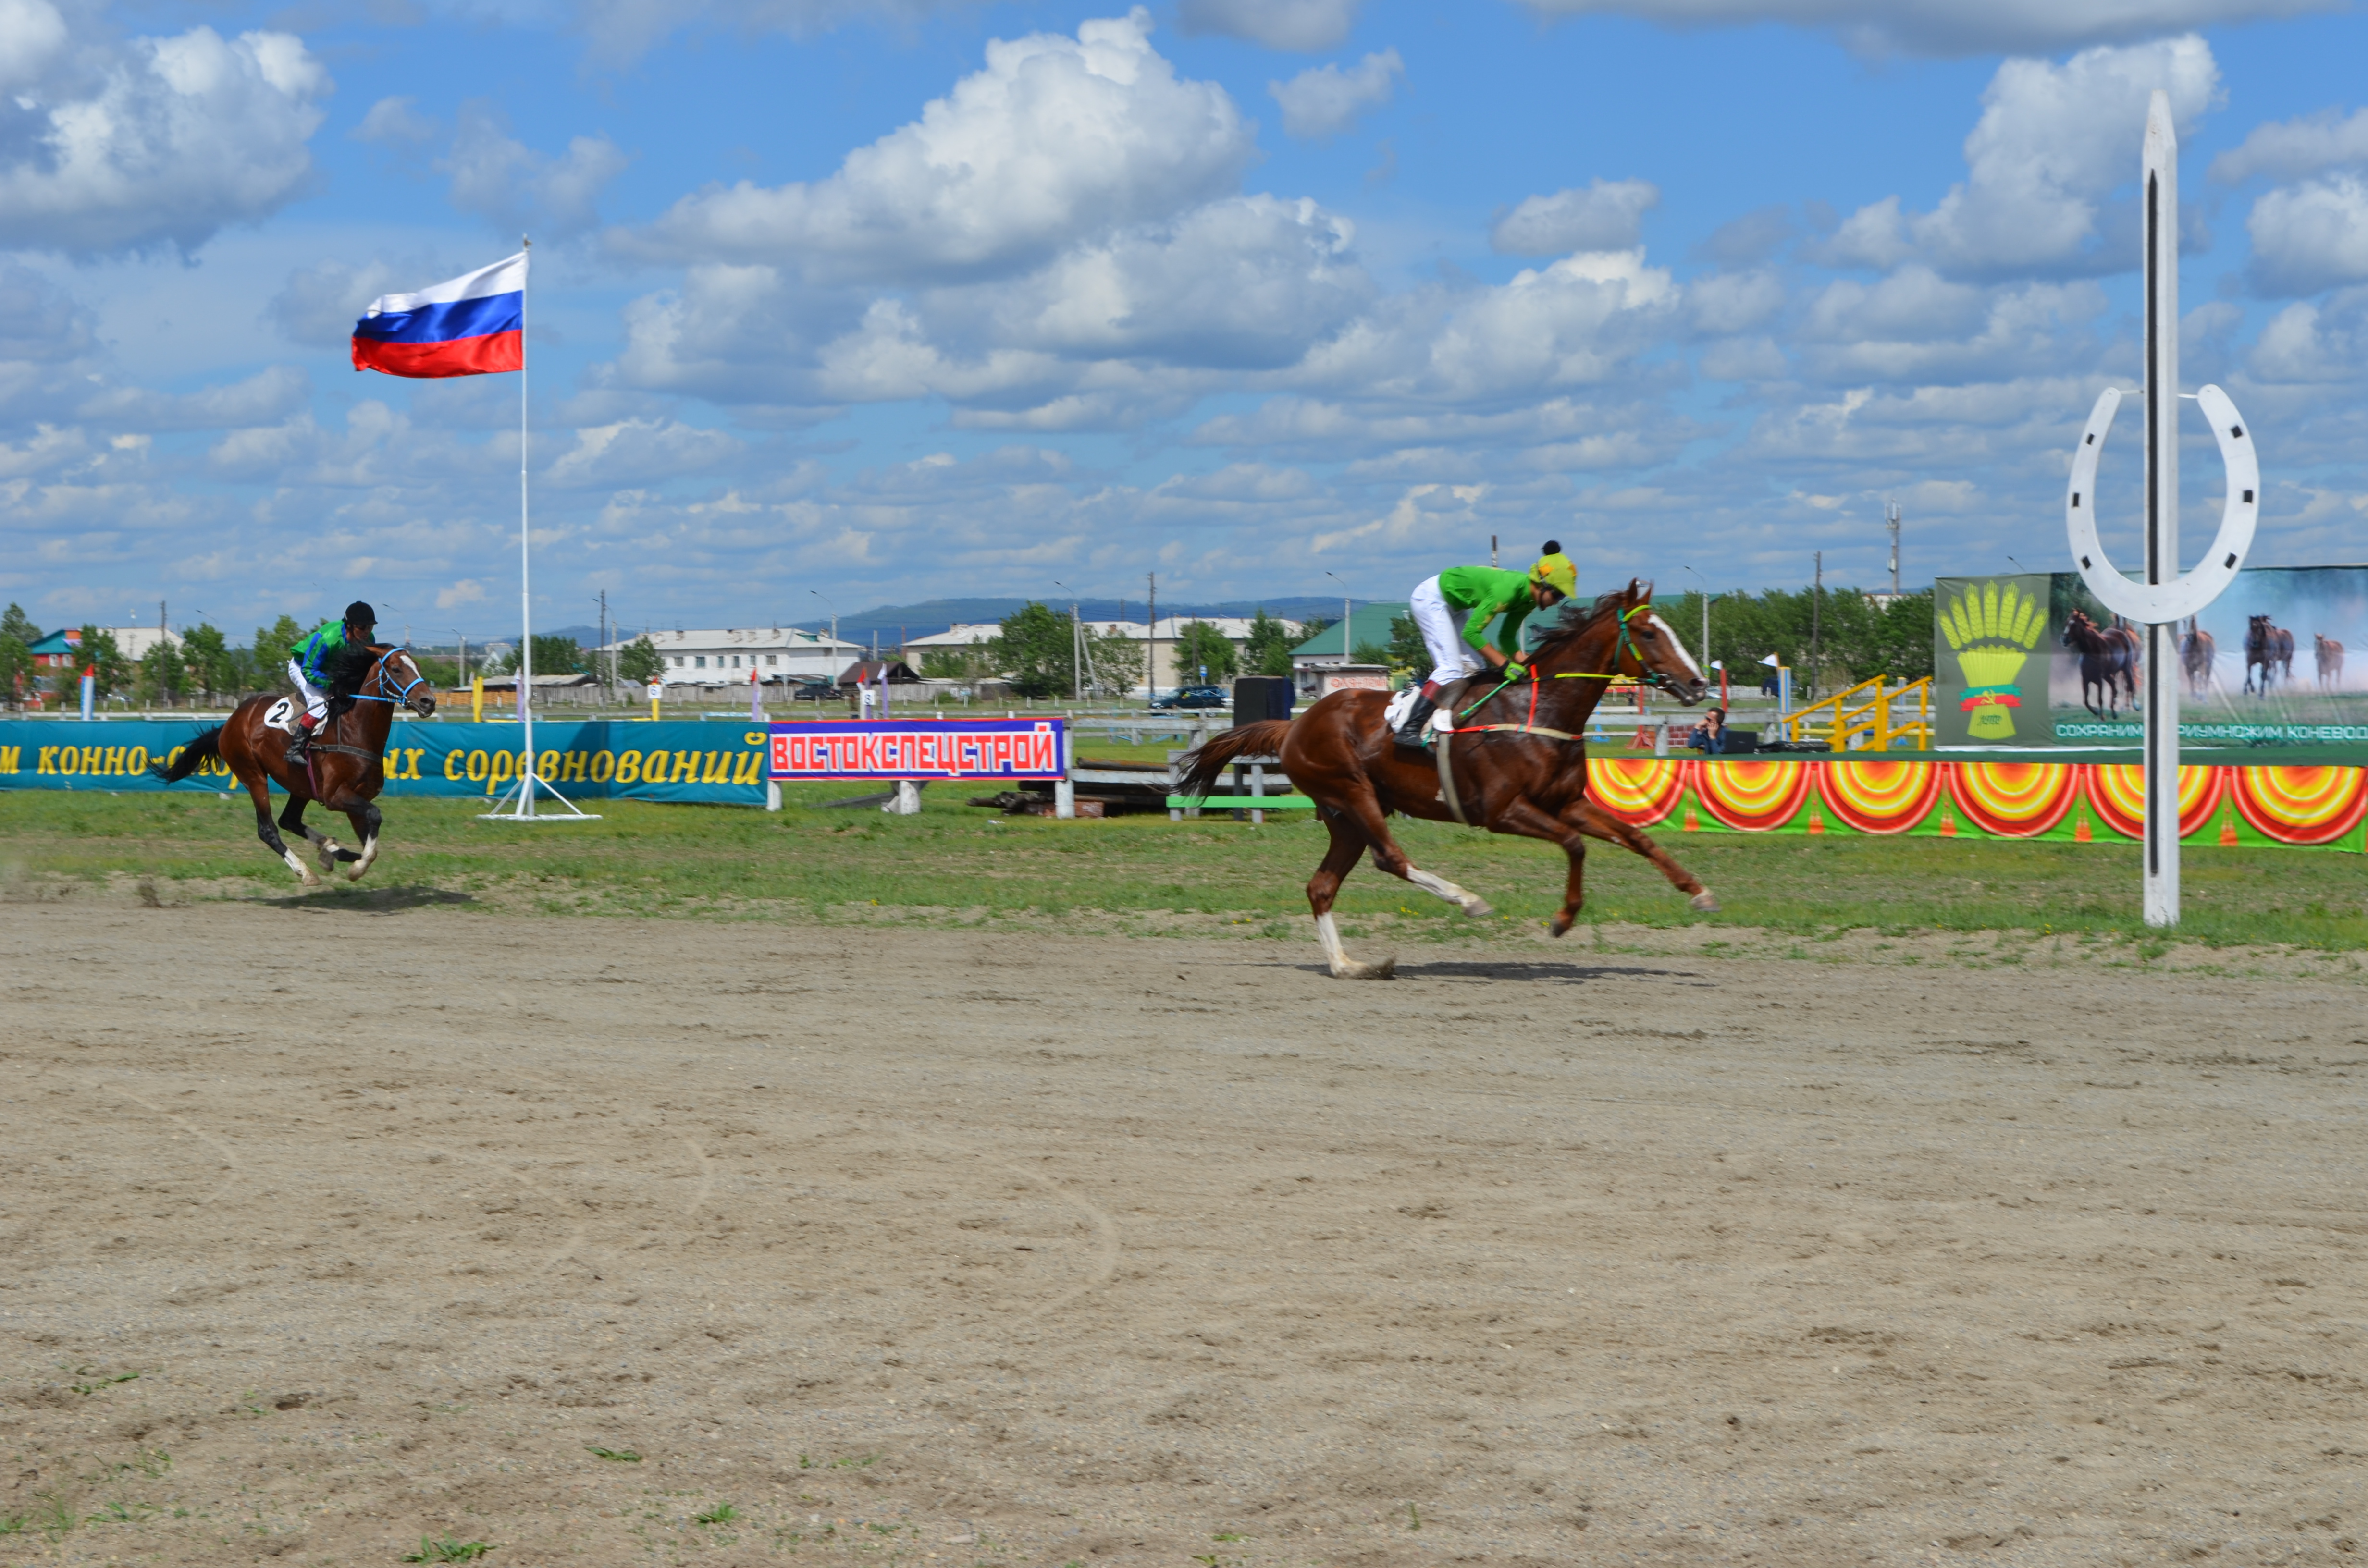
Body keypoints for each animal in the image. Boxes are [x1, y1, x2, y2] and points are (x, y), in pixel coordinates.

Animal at [150, 639, 438, 886]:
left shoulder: (356, 797)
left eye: (418, 666)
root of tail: (230, 722)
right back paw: (306, 871)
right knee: (268, 829)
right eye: (396, 669)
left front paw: (344, 857)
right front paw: (356, 869)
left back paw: (329, 849)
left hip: (300, 784)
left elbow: (370, 833)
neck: (355, 731)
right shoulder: (335, 796)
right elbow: (375, 816)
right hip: (252, 774)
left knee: (289, 820)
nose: (429, 701)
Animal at [1179, 587, 1705, 985]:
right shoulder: (1501, 811)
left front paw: (1697, 890)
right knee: (1390, 859)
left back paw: (1351, 966)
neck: (1537, 711)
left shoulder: (1566, 803)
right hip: (1351, 792)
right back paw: (1467, 900)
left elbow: (1633, 836)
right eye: (1648, 632)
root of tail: (1294, 726)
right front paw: (1562, 919)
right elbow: (1575, 844)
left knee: (1321, 887)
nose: (1699, 683)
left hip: (1343, 817)